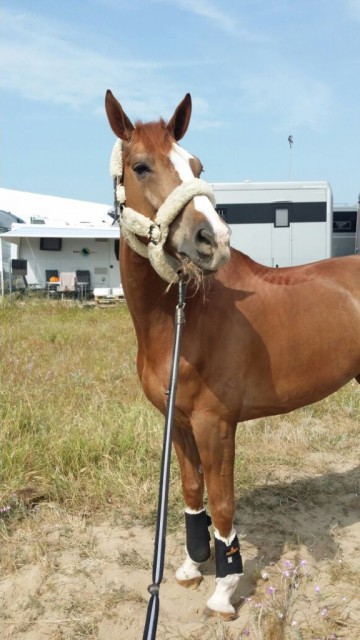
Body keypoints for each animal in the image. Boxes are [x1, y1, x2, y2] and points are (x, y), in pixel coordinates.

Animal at [105, 91, 360, 620]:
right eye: (140, 166)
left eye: (197, 165)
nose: (213, 240)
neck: (183, 320)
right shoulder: (179, 424)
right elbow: (192, 492)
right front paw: (190, 565)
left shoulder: (215, 425)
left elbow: (222, 502)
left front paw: (224, 588)